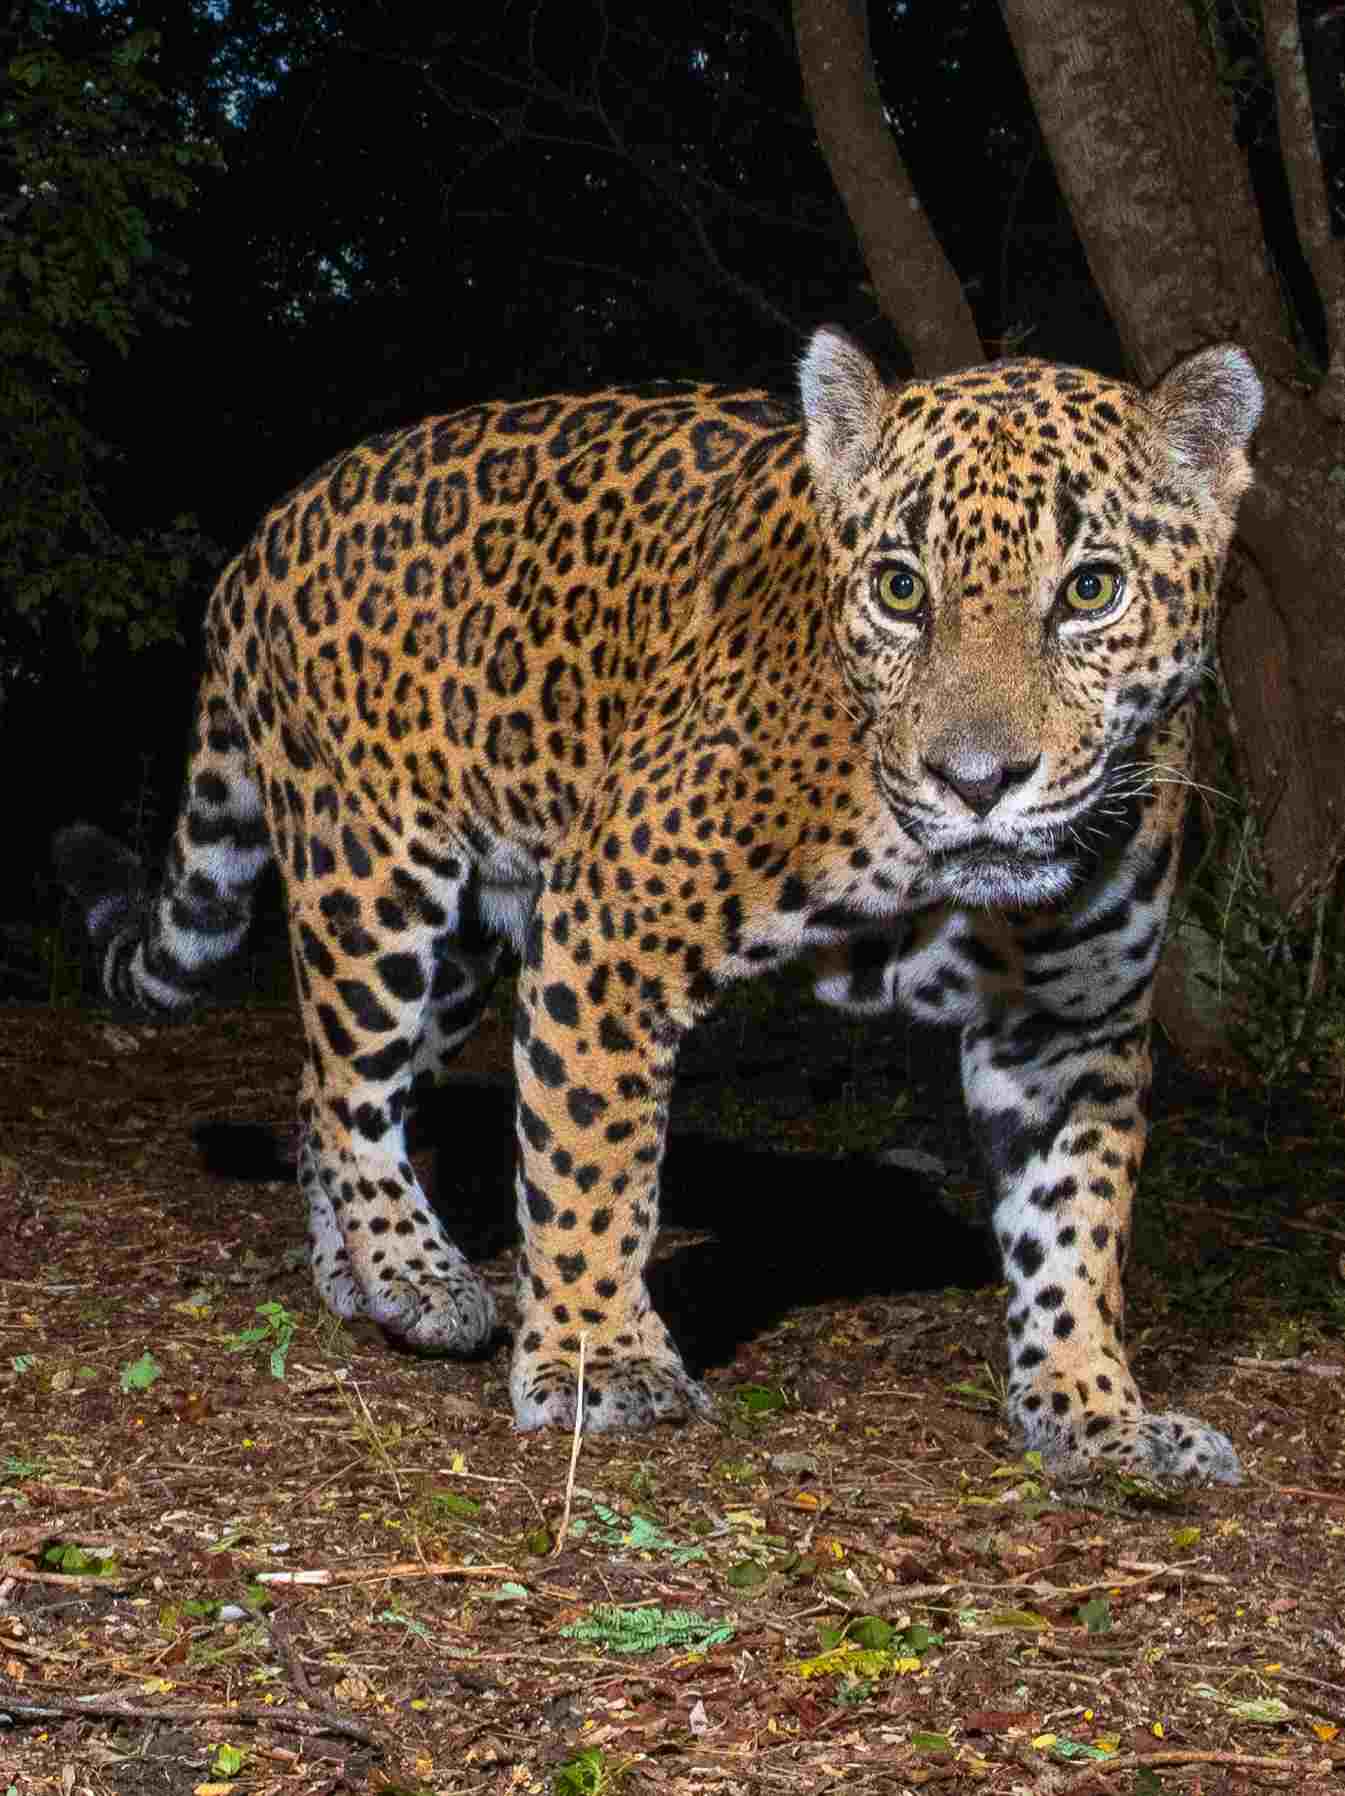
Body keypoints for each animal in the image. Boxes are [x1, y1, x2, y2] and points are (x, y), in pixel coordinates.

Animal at [55, 325, 1262, 1483]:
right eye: (900, 589)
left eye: (1092, 589)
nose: (976, 781)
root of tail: (264, 536)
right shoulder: (606, 932)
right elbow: (593, 1168)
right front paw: (603, 1361)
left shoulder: (1071, 1028)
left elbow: (1074, 1228)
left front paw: (1094, 1412)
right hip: (370, 876)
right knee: (349, 1085)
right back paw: (414, 1273)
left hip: (468, 946)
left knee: (326, 1090)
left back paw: (353, 1276)